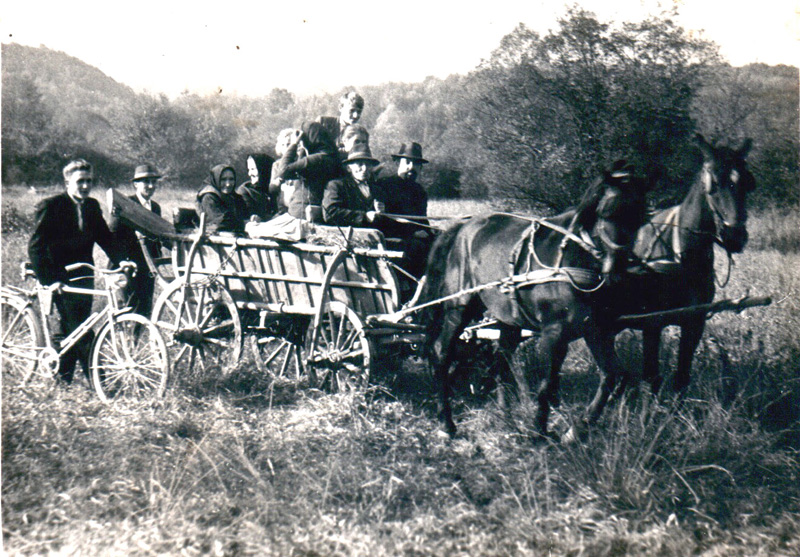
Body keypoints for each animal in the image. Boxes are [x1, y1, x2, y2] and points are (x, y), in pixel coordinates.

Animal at [418, 167, 648, 436]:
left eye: (641, 216)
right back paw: (447, 421)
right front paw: (539, 431)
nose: (619, 270)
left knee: (501, 360)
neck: (571, 262)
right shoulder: (554, 333)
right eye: (606, 212)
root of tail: (462, 226)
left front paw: (578, 428)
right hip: (460, 308)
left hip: (507, 317)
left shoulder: (594, 330)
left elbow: (613, 376)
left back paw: (505, 415)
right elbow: (546, 385)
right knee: (442, 353)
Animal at [612, 135, 756, 396]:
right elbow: (652, 377)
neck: (682, 256)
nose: (735, 236)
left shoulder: (694, 323)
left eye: (747, 183)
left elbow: (682, 377)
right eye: (713, 184)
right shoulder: (652, 323)